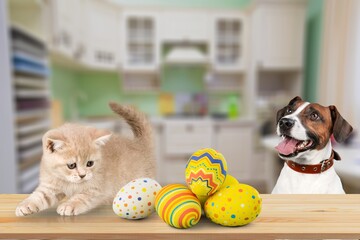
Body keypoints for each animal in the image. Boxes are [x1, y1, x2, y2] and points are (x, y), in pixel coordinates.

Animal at [15, 102, 155, 217]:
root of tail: (138, 143)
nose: (82, 175)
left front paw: (68, 205)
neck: (69, 182)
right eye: (71, 165)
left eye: (90, 163)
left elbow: (81, 197)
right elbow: (38, 196)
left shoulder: (98, 190)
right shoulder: (50, 186)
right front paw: (25, 205)